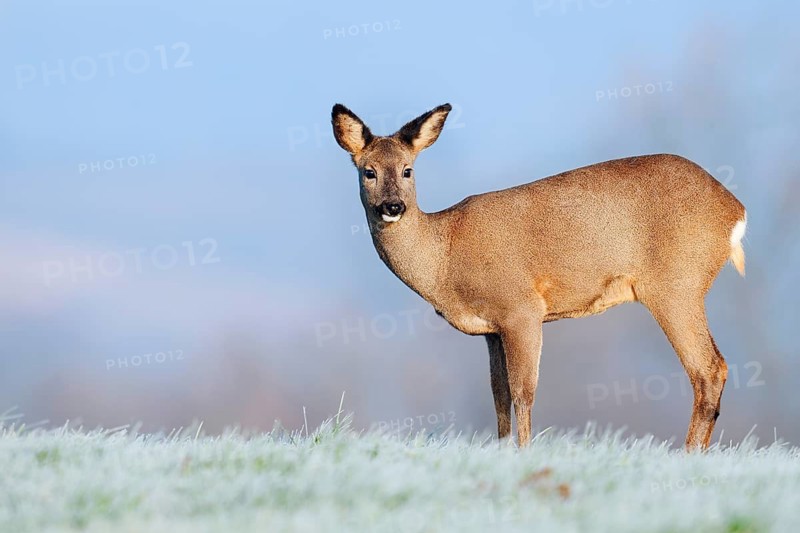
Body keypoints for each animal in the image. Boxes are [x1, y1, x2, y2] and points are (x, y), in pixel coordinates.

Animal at [331, 102, 747, 450]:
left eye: (408, 170)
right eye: (368, 172)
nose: (392, 206)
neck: (444, 258)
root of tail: (735, 211)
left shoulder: (521, 308)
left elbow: (523, 391)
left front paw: (524, 452)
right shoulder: (492, 330)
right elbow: (499, 396)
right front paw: (500, 450)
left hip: (676, 285)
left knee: (709, 368)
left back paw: (688, 454)